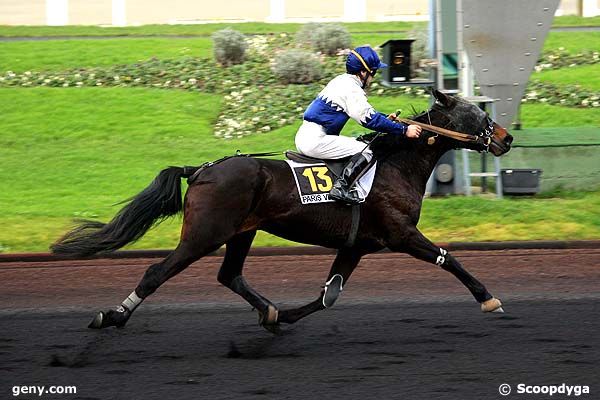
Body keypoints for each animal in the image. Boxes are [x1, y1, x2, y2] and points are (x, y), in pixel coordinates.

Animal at [51, 90, 512, 332]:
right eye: (477, 113)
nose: (506, 138)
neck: (393, 165)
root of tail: (201, 170)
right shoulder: (400, 234)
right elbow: (448, 258)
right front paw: (488, 298)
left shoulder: (357, 245)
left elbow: (328, 295)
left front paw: (285, 314)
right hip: (205, 233)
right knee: (156, 272)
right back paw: (112, 315)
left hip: (242, 232)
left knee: (229, 275)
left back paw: (269, 309)